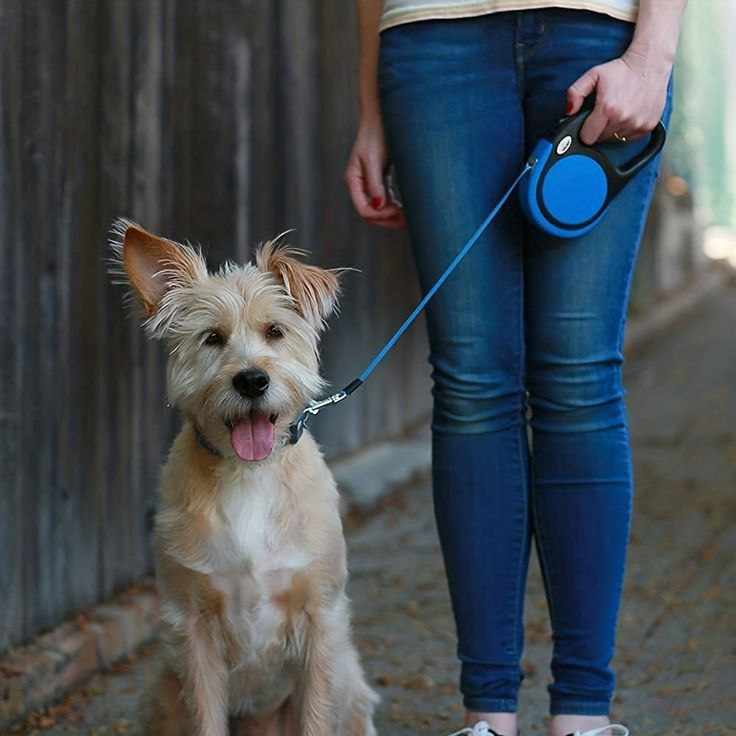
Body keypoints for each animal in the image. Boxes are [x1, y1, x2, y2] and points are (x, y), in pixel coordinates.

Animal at [111, 223, 376, 736]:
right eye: (212, 337)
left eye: (275, 330)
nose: (252, 381)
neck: (248, 473)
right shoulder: (193, 628)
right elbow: (206, 716)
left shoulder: (320, 620)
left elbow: (315, 716)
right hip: (161, 694)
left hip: (349, 684)